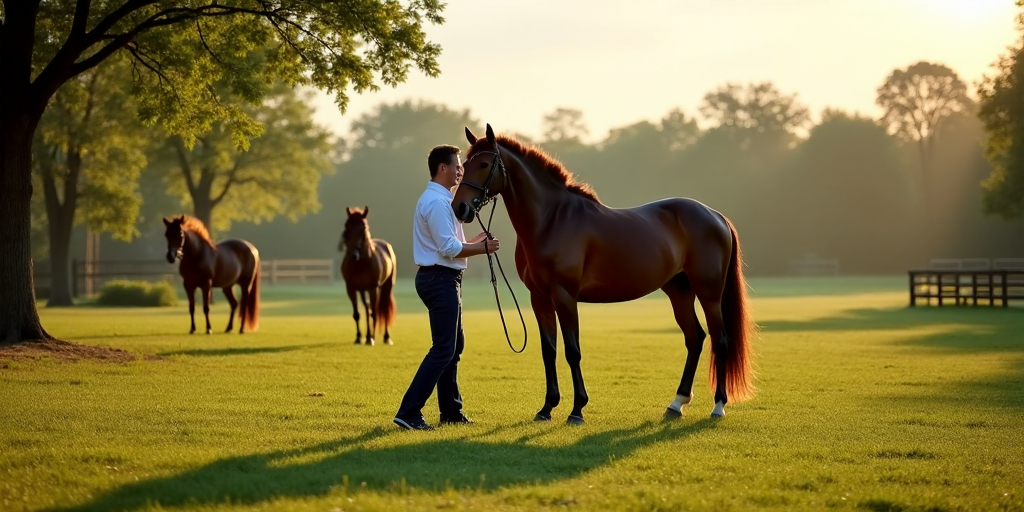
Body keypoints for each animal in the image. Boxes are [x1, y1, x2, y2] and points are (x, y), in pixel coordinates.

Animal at [339, 205, 395, 346]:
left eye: (364, 228)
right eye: (346, 226)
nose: (353, 255)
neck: (360, 264)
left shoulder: (373, 288)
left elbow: (374, 313)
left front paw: (371, 339)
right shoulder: (351, 289)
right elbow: (357, 314)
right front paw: (359, 337)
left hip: (386, 287)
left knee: (382, 308)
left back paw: (385, 337)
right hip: (363, 291)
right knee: (366, 308)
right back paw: (368, 335)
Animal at [452, 123, 757, 423]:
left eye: (483, 163)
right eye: (464, 164)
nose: (460, 208)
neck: (552, 220)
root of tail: (715, 215)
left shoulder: (564, 296)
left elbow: (572, 351)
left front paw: (577, 409)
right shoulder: (539, 298)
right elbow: (549, 351)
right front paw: (547, 408)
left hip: (709, 292)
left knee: (720, 340)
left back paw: (718, 405)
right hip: (679, 291)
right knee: (695, 339)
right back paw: (676, 403)